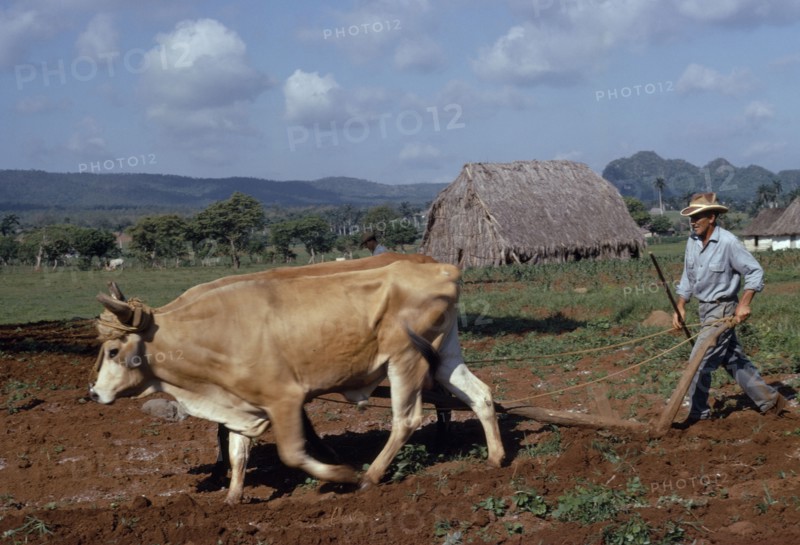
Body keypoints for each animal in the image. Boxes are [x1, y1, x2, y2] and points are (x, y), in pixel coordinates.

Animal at [90, 260, 504, 504]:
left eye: (113, 350)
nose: (94, 392)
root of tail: (442, 268)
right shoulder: (243, 403)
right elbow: (238, 451)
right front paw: (232, 498)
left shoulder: (285, 400)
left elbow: (292, 452)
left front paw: (341, 473)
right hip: (445, 355)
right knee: (480, 396)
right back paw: (496, 458)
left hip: (406, 358)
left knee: (406, 420)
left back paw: (369, 476)